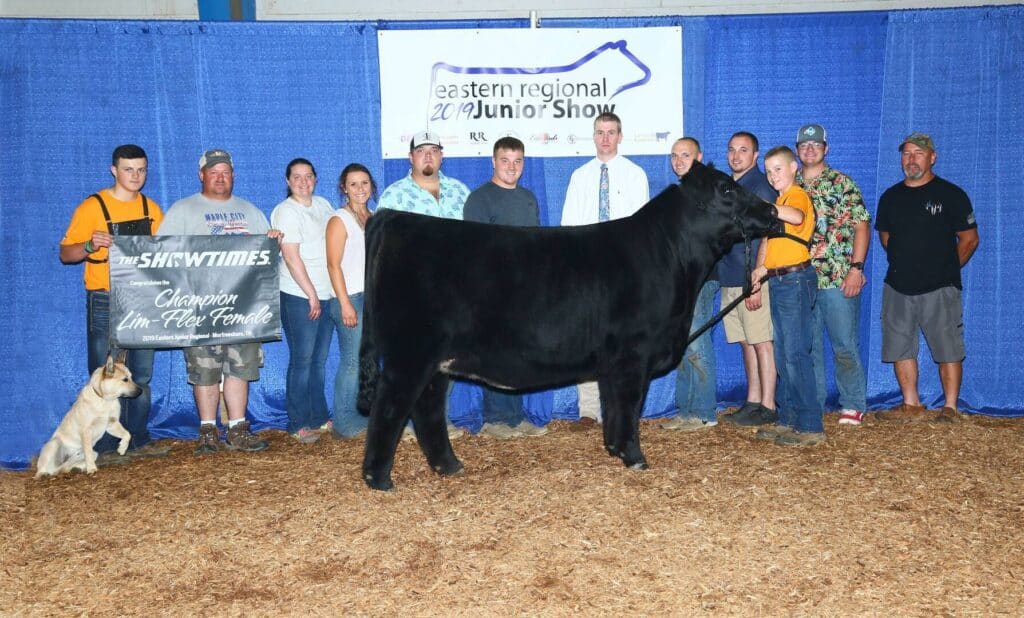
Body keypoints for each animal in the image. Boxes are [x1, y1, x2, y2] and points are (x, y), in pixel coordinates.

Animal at [357, 161, 780, 490]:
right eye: (727, 188)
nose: (773, 210)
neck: (668, 254)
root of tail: (393, 218)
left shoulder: (614, 363)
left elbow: (615, 407)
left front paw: (614, 449)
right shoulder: (634, 355)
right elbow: (630, 408)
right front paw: (636, 457)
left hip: (435, 362)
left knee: (427, 408)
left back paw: (449, 466)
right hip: (409, 355)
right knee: (390, 408)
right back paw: (378, 479)